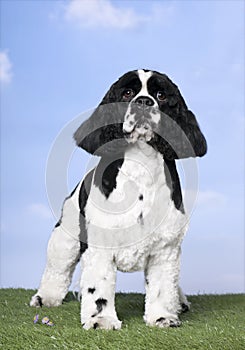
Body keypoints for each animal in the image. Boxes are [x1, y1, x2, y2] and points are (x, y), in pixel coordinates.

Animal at [30, 69, 207, 330]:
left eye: (161, 95)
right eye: (127, 92)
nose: (144, 102)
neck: (141, 164)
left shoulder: (165, 249)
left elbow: (162, 287)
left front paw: (162, 317)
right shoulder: (99, 247)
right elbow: (98, 288)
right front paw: (101, 320)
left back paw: (181, 302)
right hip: (65, 239)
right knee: (57, 269)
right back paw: (45, 297)